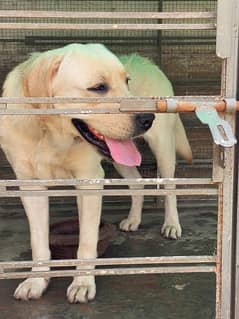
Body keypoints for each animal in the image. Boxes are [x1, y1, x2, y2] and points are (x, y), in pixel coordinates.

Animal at [0, 43, 190, 304]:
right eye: (99, 87)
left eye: (127, 82)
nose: (147, 117)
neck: (51, 136)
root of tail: (150, 62)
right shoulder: (31, 186)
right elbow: (38, 242)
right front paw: (36, 281)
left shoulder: (90, 180)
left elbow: (87, 242)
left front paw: (82, 283)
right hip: (120, 158)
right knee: (138, 183)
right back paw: (134, 219)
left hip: (163, 147)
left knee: (170, 188)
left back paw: (171, 225)